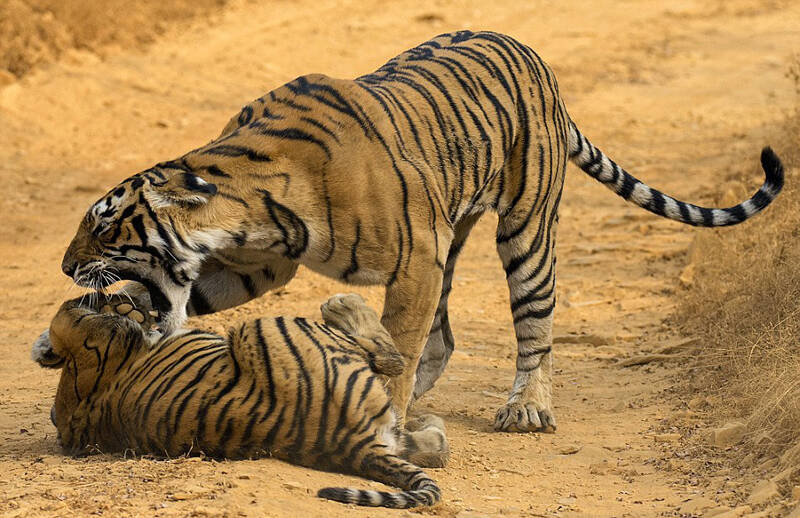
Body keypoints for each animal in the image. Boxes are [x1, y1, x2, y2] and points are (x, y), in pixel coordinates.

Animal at [34, 294, 446, 510]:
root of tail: (354, 446)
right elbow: (63, 314)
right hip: (263, 327)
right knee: (387, 356)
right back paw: (342, 305)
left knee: (435, 446)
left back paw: (432, 425)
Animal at [53, 29, 784, 434]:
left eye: (103, 222)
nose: (65, 267)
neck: (246, 204)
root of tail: (534, 56)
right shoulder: (267, 260)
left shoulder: (413, 259)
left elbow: (400, 343)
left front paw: (392, 410)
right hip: (452, 233)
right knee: (448, 330)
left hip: (520, 229)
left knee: (533, 317)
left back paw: (527, 409)